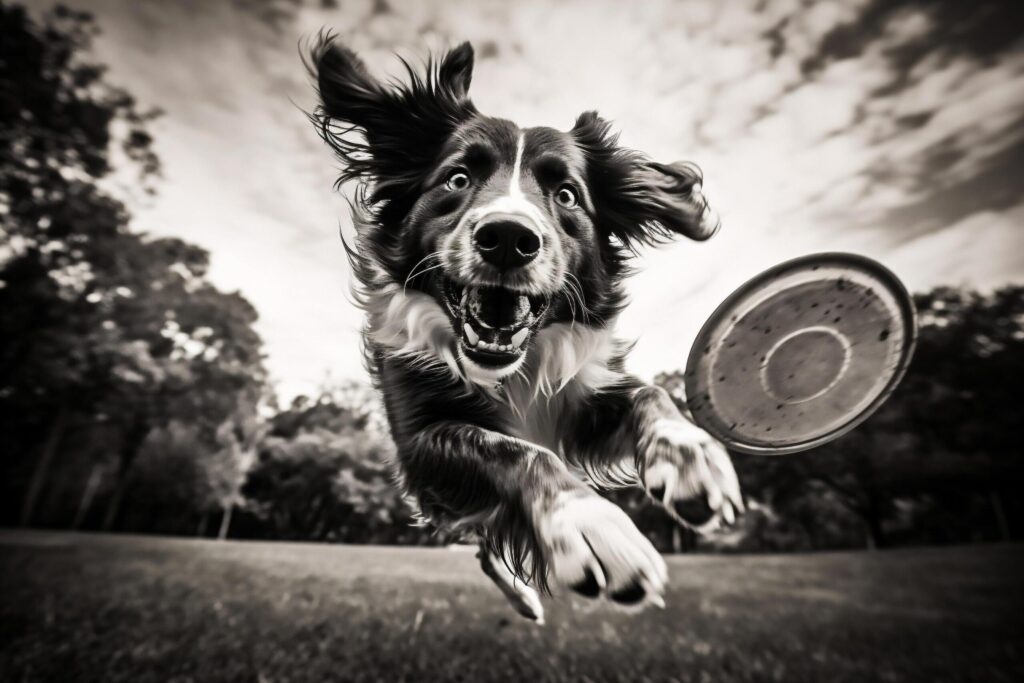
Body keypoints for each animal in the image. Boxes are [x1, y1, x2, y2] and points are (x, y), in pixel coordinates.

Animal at [307, 36, 741, 626]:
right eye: (458, 178)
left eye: (567, 194)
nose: (509, 238)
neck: (510, 369)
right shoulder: (421, 438)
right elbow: (514, 451)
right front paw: (589, 524)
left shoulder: (579, 396)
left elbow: (649, 392)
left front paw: (690, 452)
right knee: (485, 540)